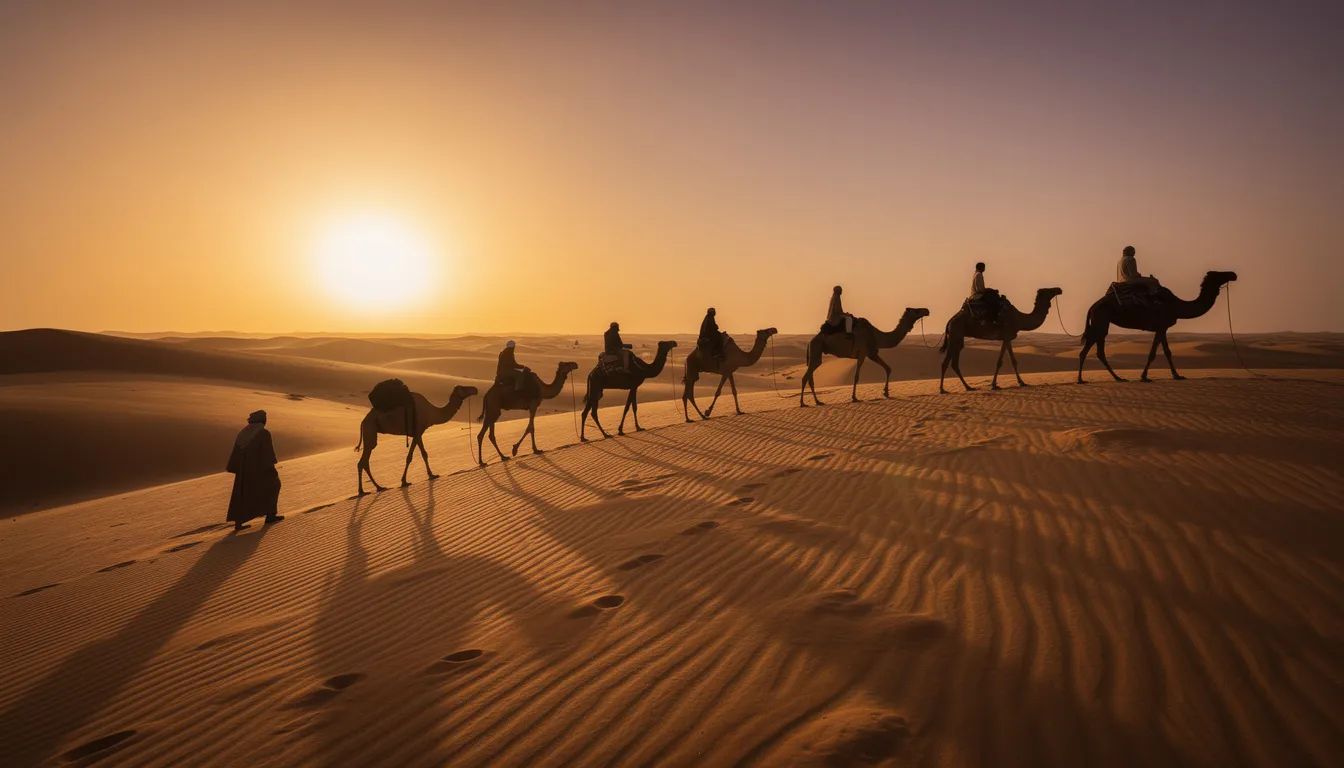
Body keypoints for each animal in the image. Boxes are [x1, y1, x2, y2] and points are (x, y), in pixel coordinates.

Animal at [798, 307, 930, 406]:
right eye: (916, 311)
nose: (927, 310)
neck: (876, 335)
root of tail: (810, 341)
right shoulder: (863, 354)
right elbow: (856, 377)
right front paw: (854, 398)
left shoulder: (871, 353)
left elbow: (888, 368)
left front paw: (886, 392)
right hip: (816, 350)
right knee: (806, 377)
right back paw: (803, 403)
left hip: (815, 353)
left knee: (810, 378)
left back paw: (817, 401)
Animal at [1078, 271, 1238, 383]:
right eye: (1219, 274)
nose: (1233, 274)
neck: (1177, 305)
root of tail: (1092, 307)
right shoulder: (1161, 326)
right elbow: (1154, 353)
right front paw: (1145, 377)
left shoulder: (1163, 327)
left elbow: (1166, 352)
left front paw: (1176, 375)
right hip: (1100, 321)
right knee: (1087, 350)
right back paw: (1081, 380)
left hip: (1101, 323)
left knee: (1099, 352)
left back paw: (1118, 378)